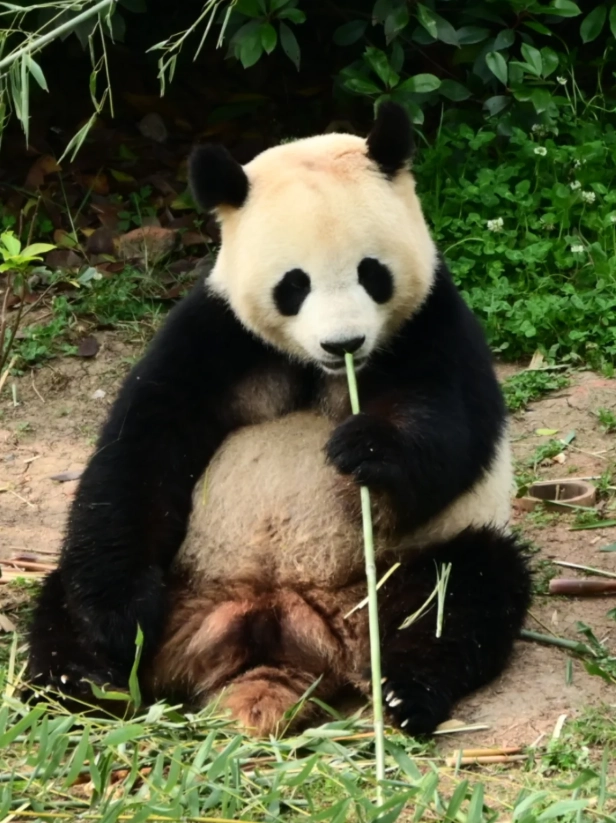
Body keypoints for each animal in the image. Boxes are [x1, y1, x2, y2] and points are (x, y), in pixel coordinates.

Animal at [27, 102, 531, 737]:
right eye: (295, 284)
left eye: (372, 272)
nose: (345, 342)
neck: (319, 367)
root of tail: (281, 629)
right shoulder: (215, 331)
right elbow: (141, 448)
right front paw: (121, 622)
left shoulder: (433, 323)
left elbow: (451, 430)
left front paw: (365, 450)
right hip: (182, 578)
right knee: (63, 601)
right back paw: (85, 682)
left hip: (398, 572)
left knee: (462, 593)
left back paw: (405, 693)